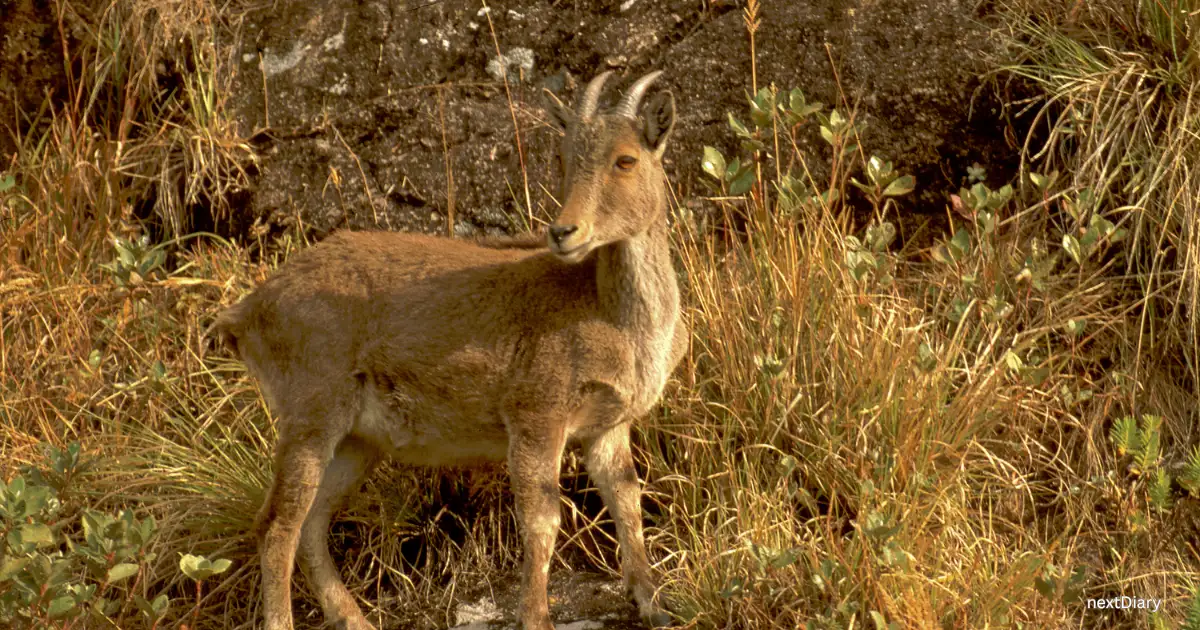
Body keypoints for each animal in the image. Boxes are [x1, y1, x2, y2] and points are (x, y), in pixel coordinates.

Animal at [212, 70, 685, 630]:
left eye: (626, 159)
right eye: (566, 157)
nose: (564, 231)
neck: (609, 311)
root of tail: (247, 311)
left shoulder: (607, 427)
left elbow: (626, 500)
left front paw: (655, 604)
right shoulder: (535, 414)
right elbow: (542, 519)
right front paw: (537, 618)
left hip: (356, 441)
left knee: (311, 523)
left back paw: (357, 619)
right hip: (310, 414)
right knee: (277, 525)